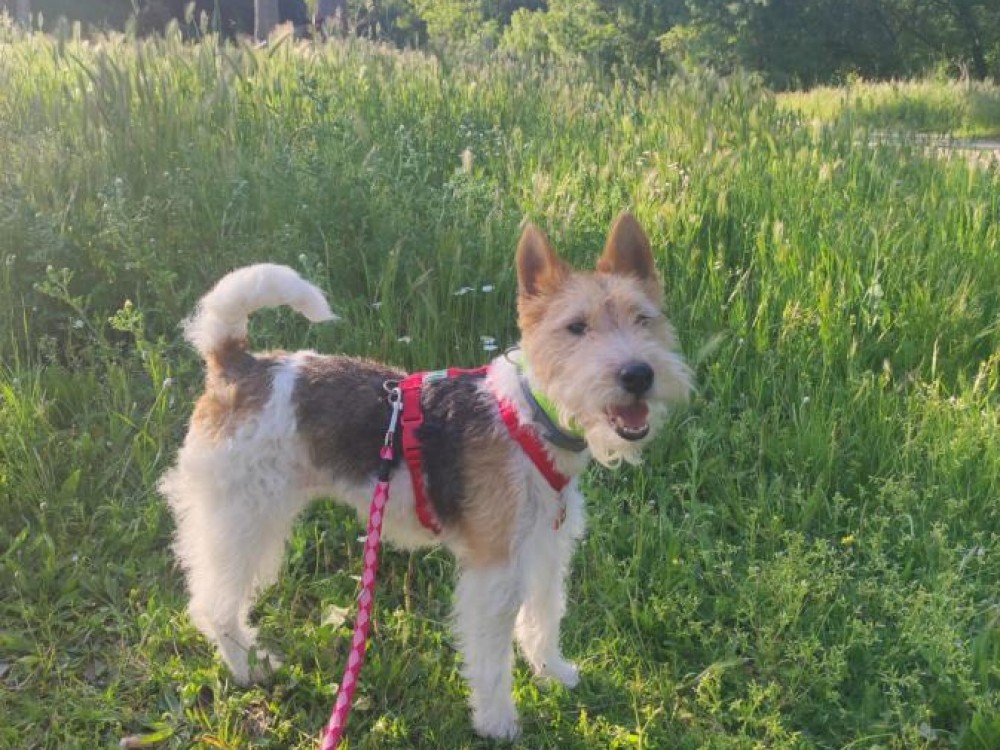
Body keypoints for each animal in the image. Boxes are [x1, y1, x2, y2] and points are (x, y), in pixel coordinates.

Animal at [159, 213, 692, 739]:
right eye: (576, 327)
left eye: (644, 318)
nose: (638, 375)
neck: (529, 418)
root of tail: (236, 363)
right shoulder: (494, 569)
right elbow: (490, 658)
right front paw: (498, 723)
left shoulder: (546, 547)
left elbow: (543, 617)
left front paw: (553, 673)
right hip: (241, 517)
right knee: (212, 603)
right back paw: (250, 666)